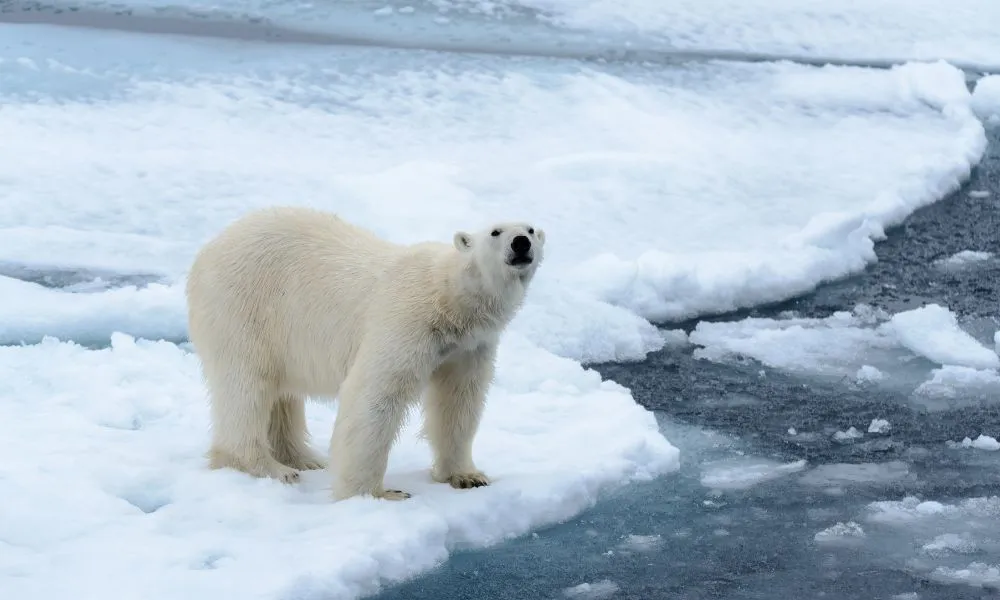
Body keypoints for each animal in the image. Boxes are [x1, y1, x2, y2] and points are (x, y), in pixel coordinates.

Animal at [185, 206, 545, 501]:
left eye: (530, 229)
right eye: (495, 232)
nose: (520, 243)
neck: (448, 298)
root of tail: (207, 249)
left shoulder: (468, 346)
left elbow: (458, 402)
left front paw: (467, 476)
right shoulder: (406, 321)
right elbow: (374, 396)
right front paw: (376, 494)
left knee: (281, 395)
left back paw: (305, 458)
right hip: (243, 307)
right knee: (246, 386)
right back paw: (269, 467)